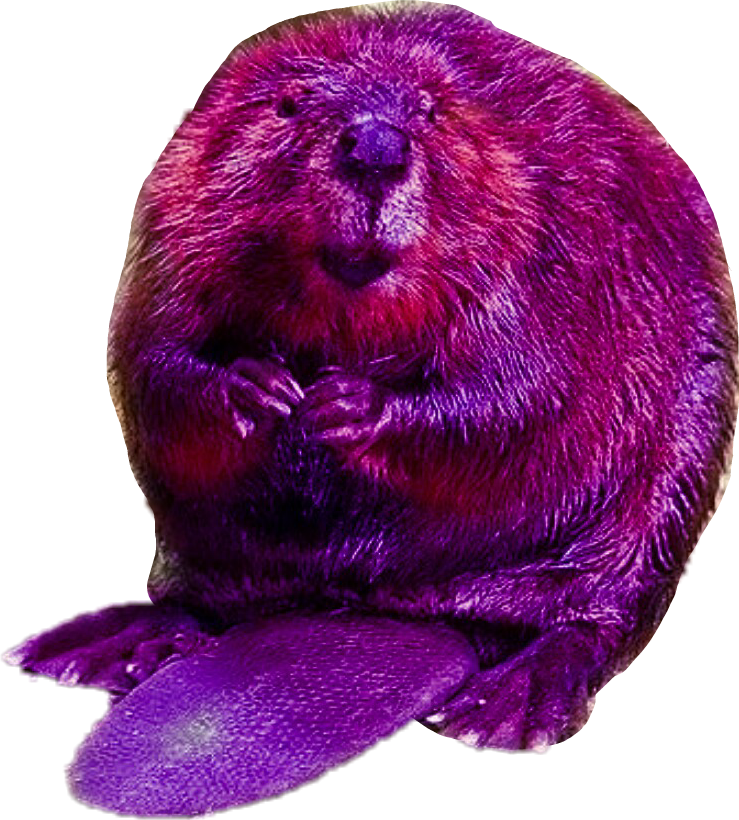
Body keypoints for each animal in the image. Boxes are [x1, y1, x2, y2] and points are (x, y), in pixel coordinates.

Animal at [3, 2, 736, 814]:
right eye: (289, 105)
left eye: (432, 112)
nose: (376, 147)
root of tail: (403, 611)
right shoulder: (168, 223)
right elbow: (150, 359)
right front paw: (261, 389)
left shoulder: (554, 231)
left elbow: (524, 394)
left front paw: (343, 405)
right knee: (199, 599)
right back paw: (81, 648)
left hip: (672, 477)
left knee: (596, 618)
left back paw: (504, 707)